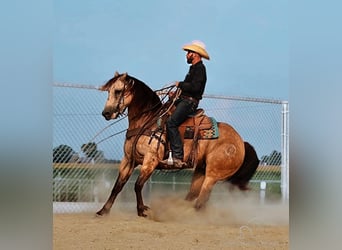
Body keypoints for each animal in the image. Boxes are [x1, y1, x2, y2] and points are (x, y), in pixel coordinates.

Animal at [95, 72, 258, 217]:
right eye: (108, 91)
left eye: (118, 91)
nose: (106, 113)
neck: (147, 121)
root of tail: (241, 143)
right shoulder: (129, 160)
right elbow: (117, 186)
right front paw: (103, 211)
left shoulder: (151, 160)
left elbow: (138, 185)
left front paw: (142, 210)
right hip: (201, 170)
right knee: (193, 196)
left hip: (213, 175)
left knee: (201, 201)